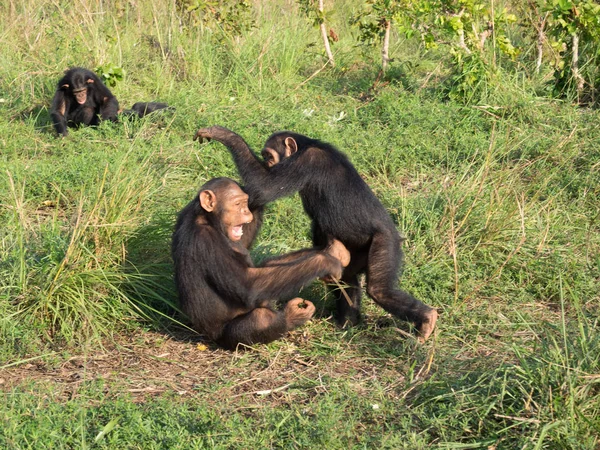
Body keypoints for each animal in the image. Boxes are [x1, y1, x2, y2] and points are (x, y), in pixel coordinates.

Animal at [172, 178, 352, 350]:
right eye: (237, 204)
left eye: (244, 203)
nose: (246, 211)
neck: (208, 220)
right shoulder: (207, 241)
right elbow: (248, 283)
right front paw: (327, 261)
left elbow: (257, 267)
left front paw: (334, 252)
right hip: (223, 339)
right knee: (262, 318)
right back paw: (292, 315)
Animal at [195, 125, 438, 342]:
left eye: (269, 155)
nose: (267, 162)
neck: (306, 145)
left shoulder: (307, 161)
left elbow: (264, 186)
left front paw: (222, 134)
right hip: (356, 252)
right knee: (346, 277)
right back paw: (347, 322)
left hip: (384, 241)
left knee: (379, 290)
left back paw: (426, 319)